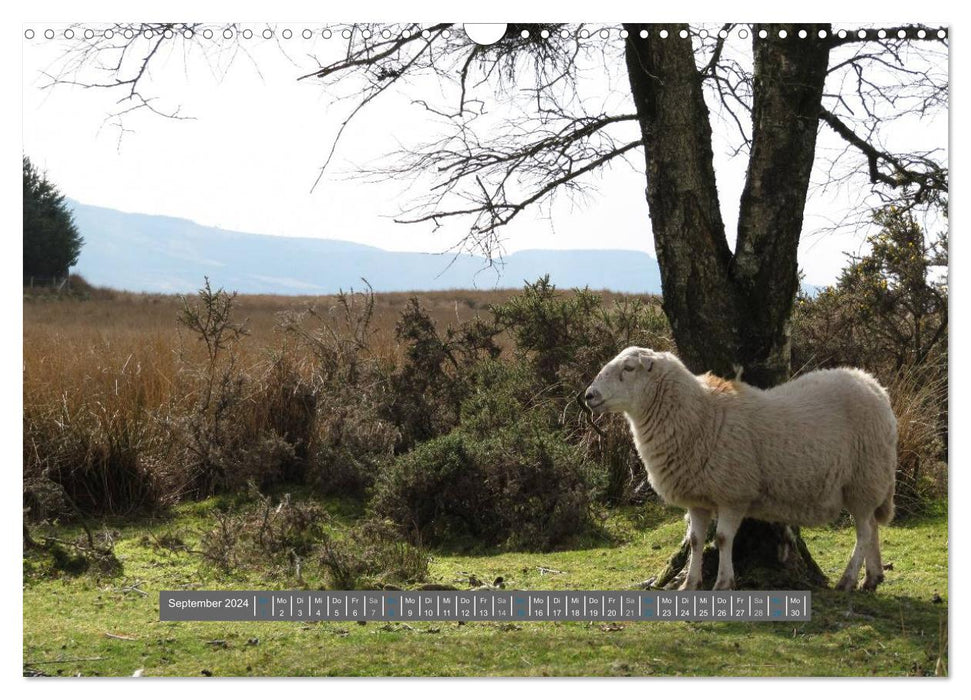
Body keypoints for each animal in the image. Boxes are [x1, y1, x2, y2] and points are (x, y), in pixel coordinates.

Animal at [584, 344, 896, 592]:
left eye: (629, 367)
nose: (588, 395)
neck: (700, 415)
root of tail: (874, 385)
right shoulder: (698, 497)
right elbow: (695, 540)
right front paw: (690, 583)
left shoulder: (733, 493)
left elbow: (722, 539)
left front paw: (723, 582)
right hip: (867, 483)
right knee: (872, 527)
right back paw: (872, 578)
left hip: (864, 479)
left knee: (864, 532)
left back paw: (848, 579)